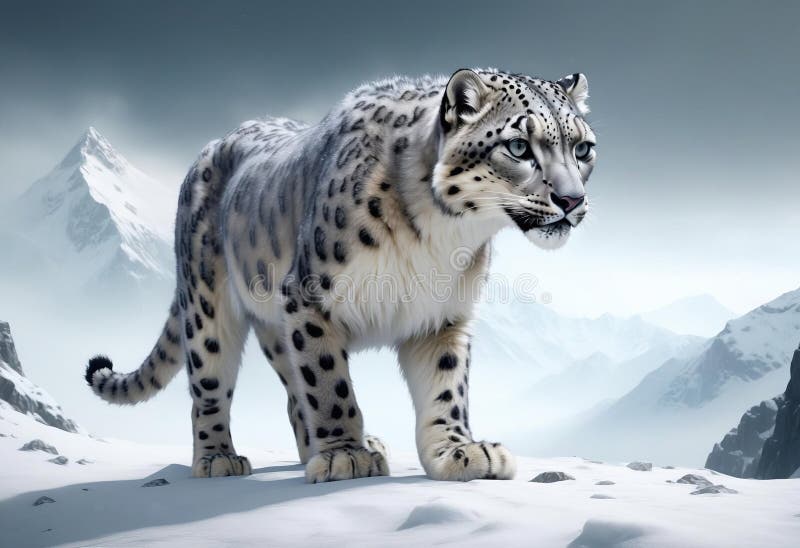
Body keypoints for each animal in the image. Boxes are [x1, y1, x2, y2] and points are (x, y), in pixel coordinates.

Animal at [84, 68, 596, 482]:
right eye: (518, 146)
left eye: (583, 148)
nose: (572, 200)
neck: (443, 234)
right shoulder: (309, 298)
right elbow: (328, 382)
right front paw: (345, 456)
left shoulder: (443, 315)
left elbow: (447, 386)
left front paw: (458, 452)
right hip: (208, 303)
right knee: (211, 381)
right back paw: (218, 459)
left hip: (275, 330)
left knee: (293, 395)